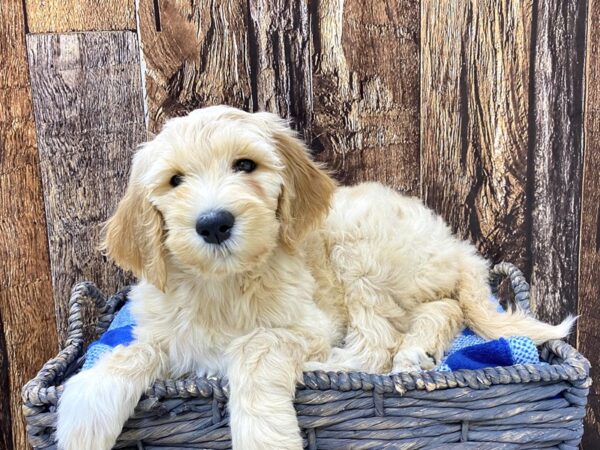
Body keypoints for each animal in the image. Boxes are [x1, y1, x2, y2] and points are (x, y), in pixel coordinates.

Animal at [57, 106, 576, 450]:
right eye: (174, 181)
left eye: (245, 165)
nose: (214, 223)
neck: (224, 284)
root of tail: (455, 244)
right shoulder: (165, 330)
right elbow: (132, 351)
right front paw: (84, 416)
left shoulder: (307, 326)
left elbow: (256, 345)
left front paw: (265, 435)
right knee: (440, 308)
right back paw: (418, 352)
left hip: (359, 250)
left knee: (379, 341)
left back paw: (340, 365)